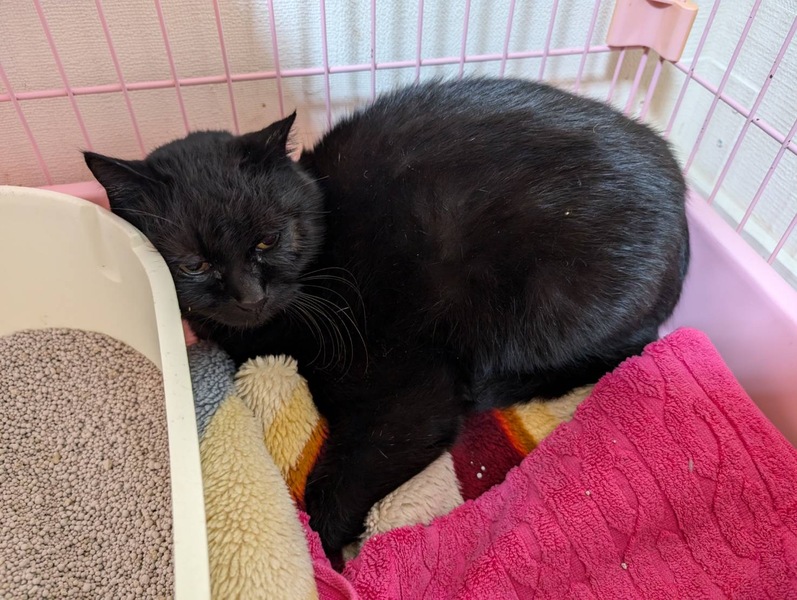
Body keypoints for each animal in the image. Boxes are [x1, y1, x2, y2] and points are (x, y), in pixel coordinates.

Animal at [84, 77, 689, 557]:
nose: (250, 296)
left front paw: (331, 556)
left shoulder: (410, 393)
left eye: (268, 239)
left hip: (546, 308)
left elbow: (332, 487)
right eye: (194, 263)